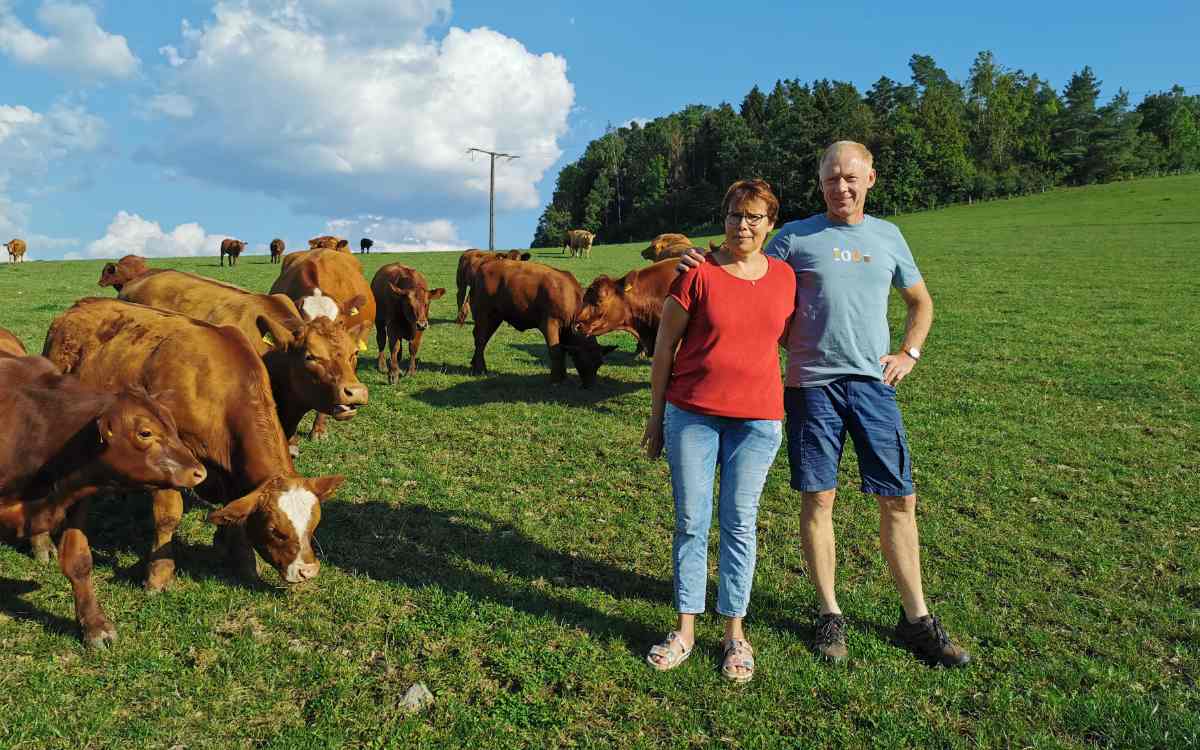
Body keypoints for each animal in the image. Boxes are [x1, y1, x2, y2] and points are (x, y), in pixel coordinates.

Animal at [0, 352, 205, 648]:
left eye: (174, 426)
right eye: (145, 432)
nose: (200, 472)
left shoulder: (76, 500)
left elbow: (79, 560)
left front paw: (94, 626)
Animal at [468, 259, 619, 386]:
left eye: (599, 363)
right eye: (583, 360)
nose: (591, 385)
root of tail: (484, 265)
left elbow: (561, 350)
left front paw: (563, 377)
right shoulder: (550, 323)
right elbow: (555, 351)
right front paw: (556, 379)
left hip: (495, 317)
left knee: (482, 339)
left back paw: (475, 365)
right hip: (483, 314)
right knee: (480, 339)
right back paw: (479, 369)